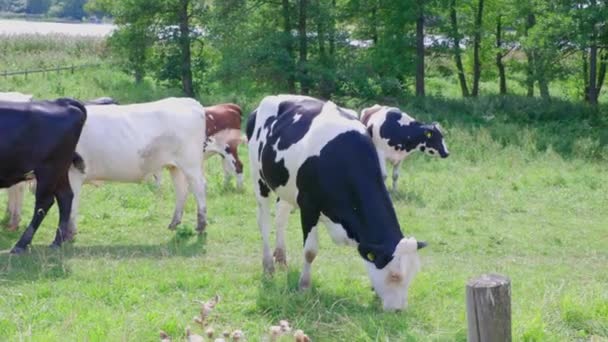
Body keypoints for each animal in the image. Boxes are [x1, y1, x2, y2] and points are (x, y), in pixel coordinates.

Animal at [0, 97, 86, 252]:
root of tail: (61, 103)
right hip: (60, 171)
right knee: (65, 196)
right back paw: (57, 241)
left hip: (49, 171)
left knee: (44, 203)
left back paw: (21, 244)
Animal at [64, 97, 208, 238]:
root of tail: (188, 101)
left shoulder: (73, 173)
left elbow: (71, 204)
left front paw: (68, 233)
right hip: (175, 166)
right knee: (182, 189)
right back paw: (174, 223)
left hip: (191, 165)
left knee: (199, 187)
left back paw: (201, 225)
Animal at [247, 95, 428, 312]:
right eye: (394, 275)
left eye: (413, 273)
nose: (398, 310)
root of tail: (271, 98)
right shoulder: (309, 206)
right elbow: (310, 252)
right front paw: (304, 287)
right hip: (259, 178)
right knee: (264, 222)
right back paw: (268, 266)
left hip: (286, 187)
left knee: (281, 218)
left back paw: (281, 258)